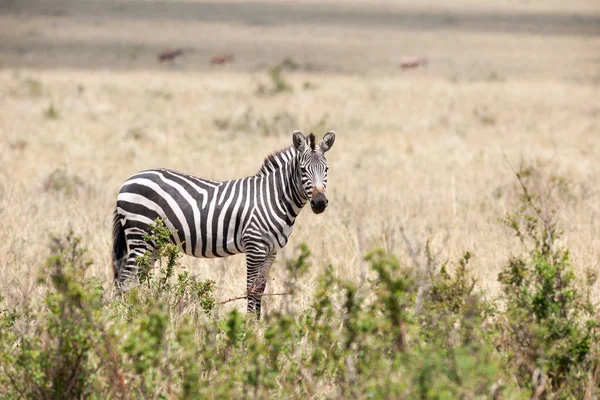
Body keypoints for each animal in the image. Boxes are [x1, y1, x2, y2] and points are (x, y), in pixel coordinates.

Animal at [112, 130, 336, 318]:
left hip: (152, 243)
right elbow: (251, 288)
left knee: (135, 280)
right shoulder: (255, 246)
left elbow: (260, 288)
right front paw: (249, 329)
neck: (273, 198)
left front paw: (258, 326)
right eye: (303, 170)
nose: (319, 203)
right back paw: (126, 319)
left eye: (326, 169)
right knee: (126, 280)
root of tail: (128, 180)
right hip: (140, 236)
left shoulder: (271, 251)